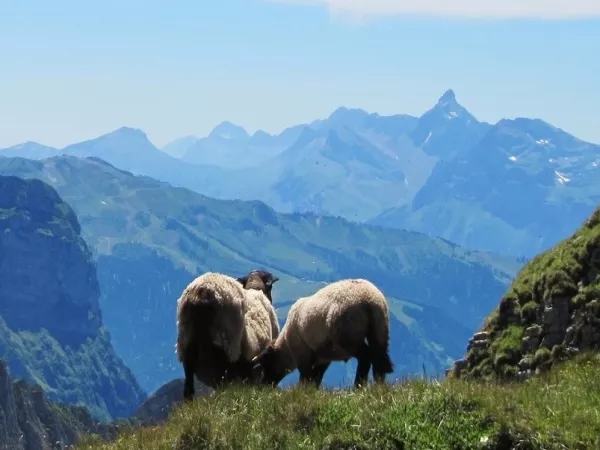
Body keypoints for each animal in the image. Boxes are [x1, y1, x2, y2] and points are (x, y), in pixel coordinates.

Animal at [248, 278, 394, 386]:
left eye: (267, 365)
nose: (265, 385)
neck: (286, 348)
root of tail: (368, 300)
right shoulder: (323, 358)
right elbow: (316, 378)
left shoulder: (303, 355)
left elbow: (306, 377)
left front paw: (302, 391)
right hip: (380, 330)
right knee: (379, 359)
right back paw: (378, 385)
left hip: (348, 333)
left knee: (366, 357)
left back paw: (358, 385)